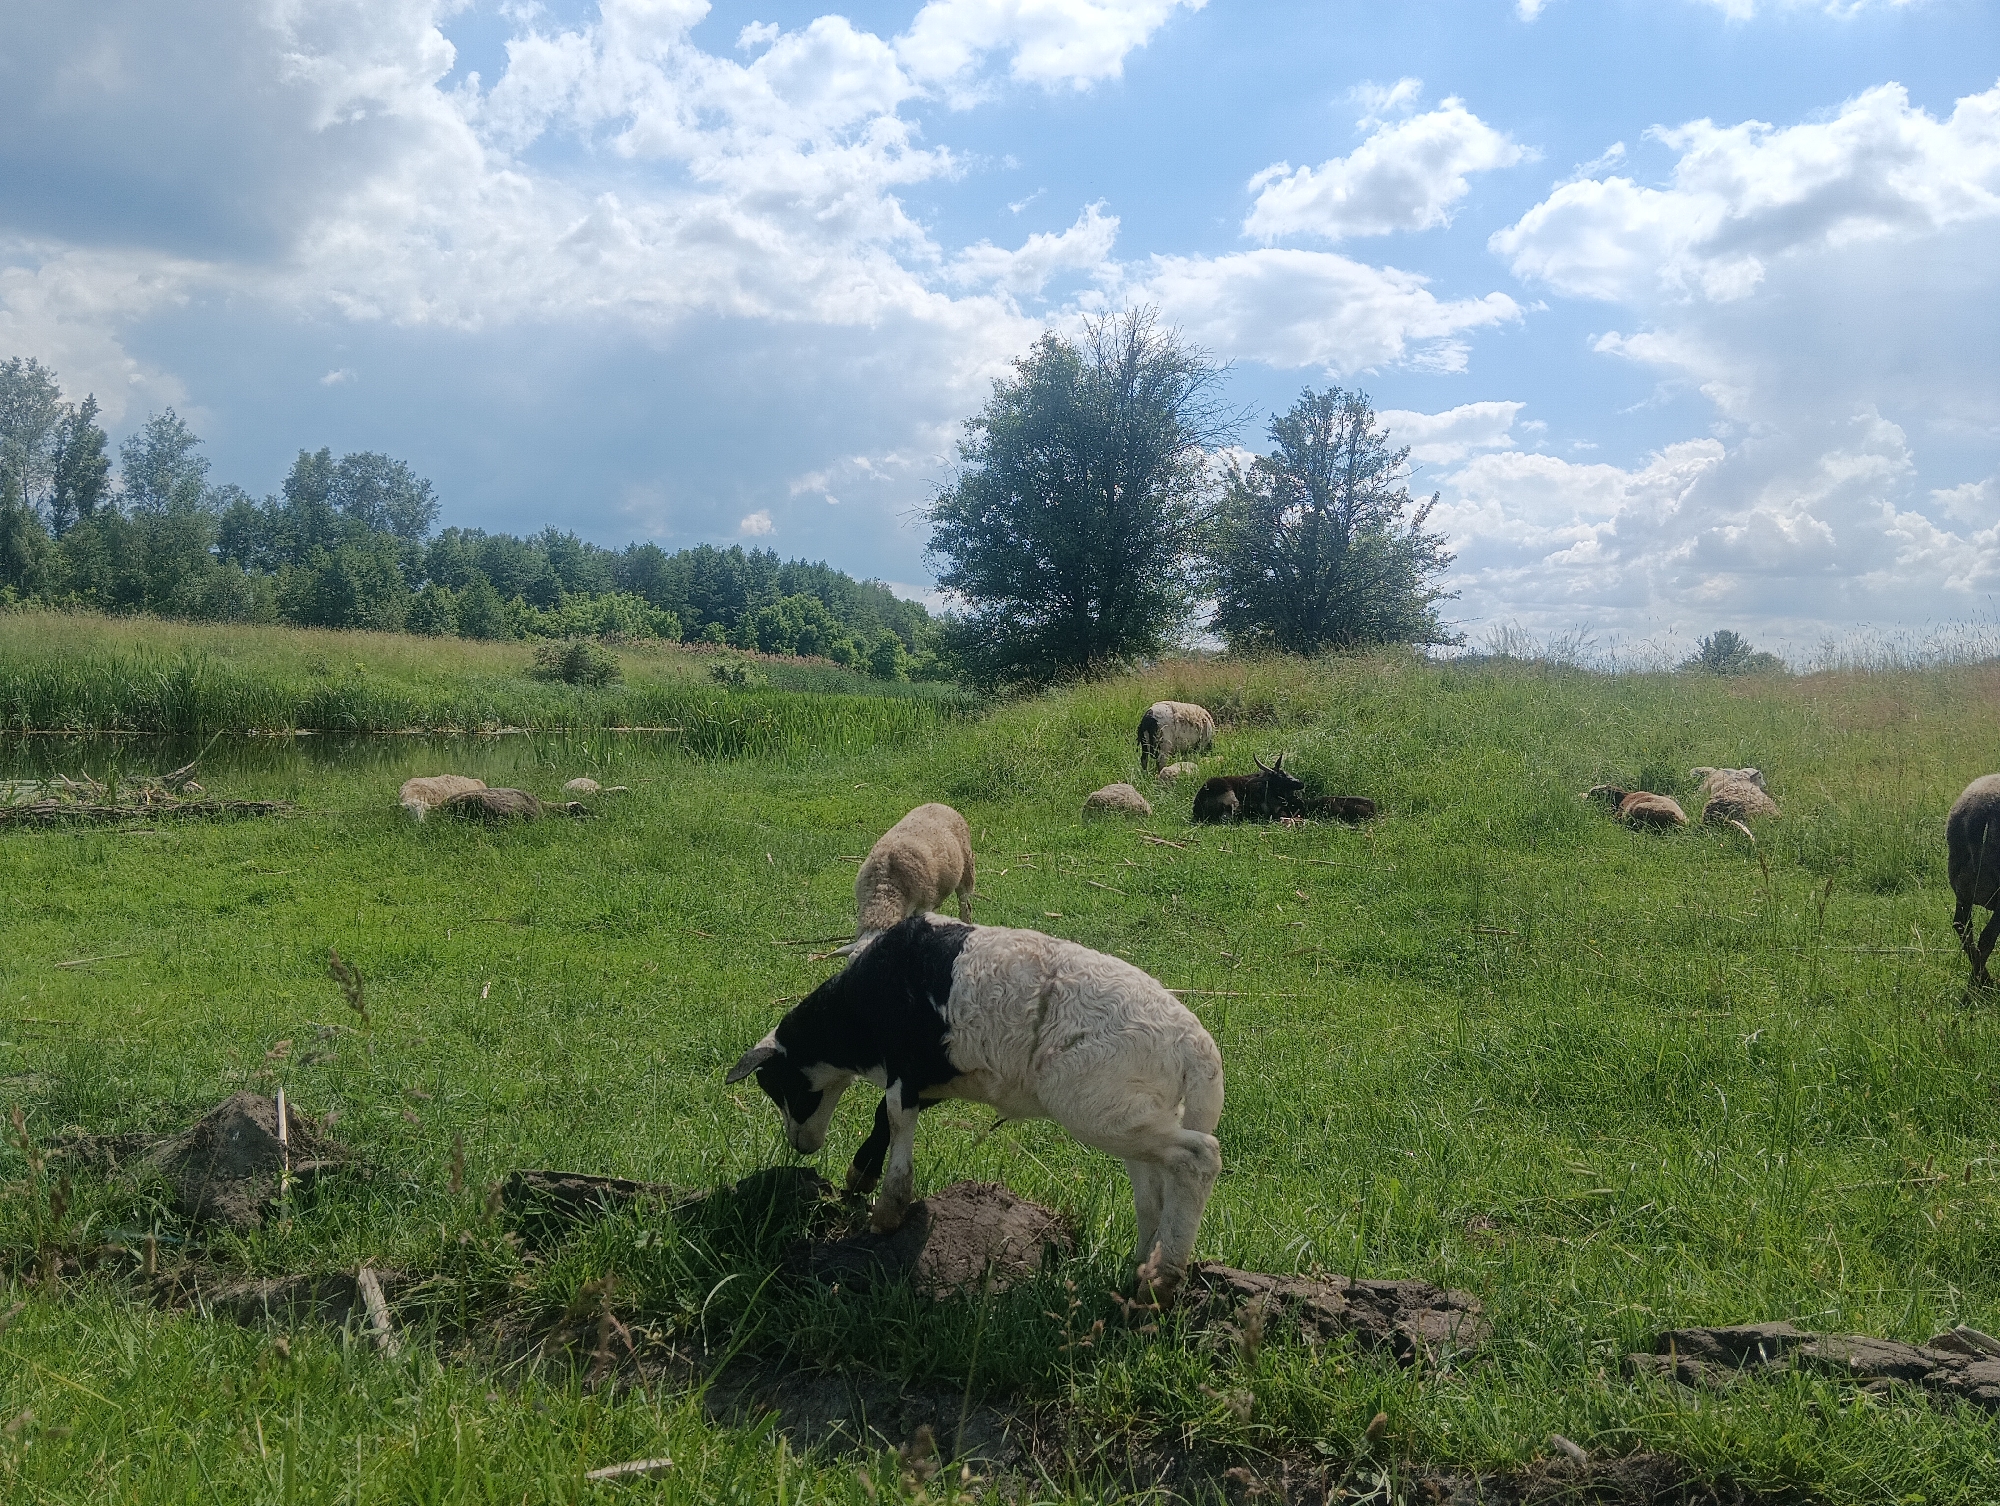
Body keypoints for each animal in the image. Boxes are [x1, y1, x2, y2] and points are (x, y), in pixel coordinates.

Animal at [726, 914, 1224, 1301]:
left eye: (777, 1084)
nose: (800, 1145)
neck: (854, 1017)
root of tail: (1197, 1048)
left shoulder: (906, 1064)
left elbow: (894, 1119)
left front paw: (887, 1212)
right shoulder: (932, 1077)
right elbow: (885, 1118)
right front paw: (861, 1177)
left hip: (1099, 1106)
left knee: (1199, 1157)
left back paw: (1161, 1280)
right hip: (1135, 1112)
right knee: (1153, 1195)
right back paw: (1136, 1271)